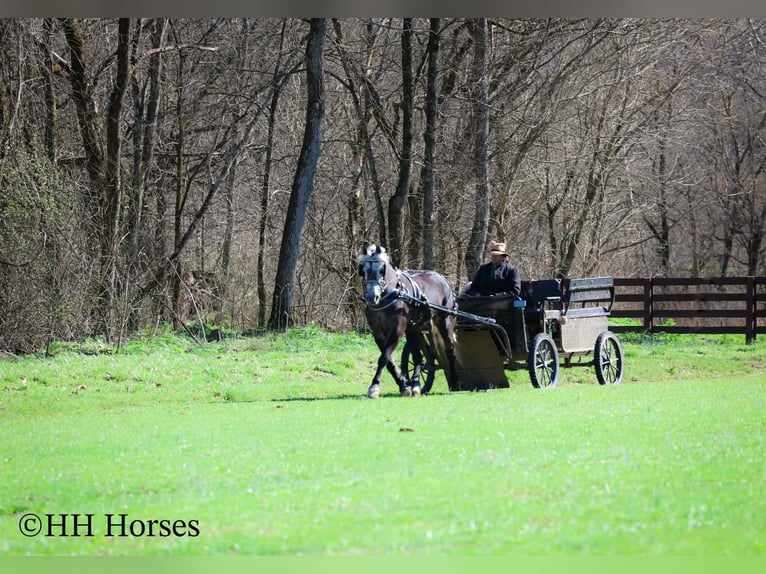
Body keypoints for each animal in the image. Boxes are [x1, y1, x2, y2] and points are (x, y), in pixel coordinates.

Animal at [357, 243, 461, 398]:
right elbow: (389, 361)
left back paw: (455, 382)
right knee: (418, 357)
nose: (372, 297)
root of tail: (443, 279)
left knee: (450, 351)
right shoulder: (378, 334)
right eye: (363, 270)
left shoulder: (397, 331)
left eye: (381, 270)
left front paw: (374, 387)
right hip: (414, 330)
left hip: (445, 324)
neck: (392, 293)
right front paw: (404, 385)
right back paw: (416, 385)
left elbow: (383, 358)